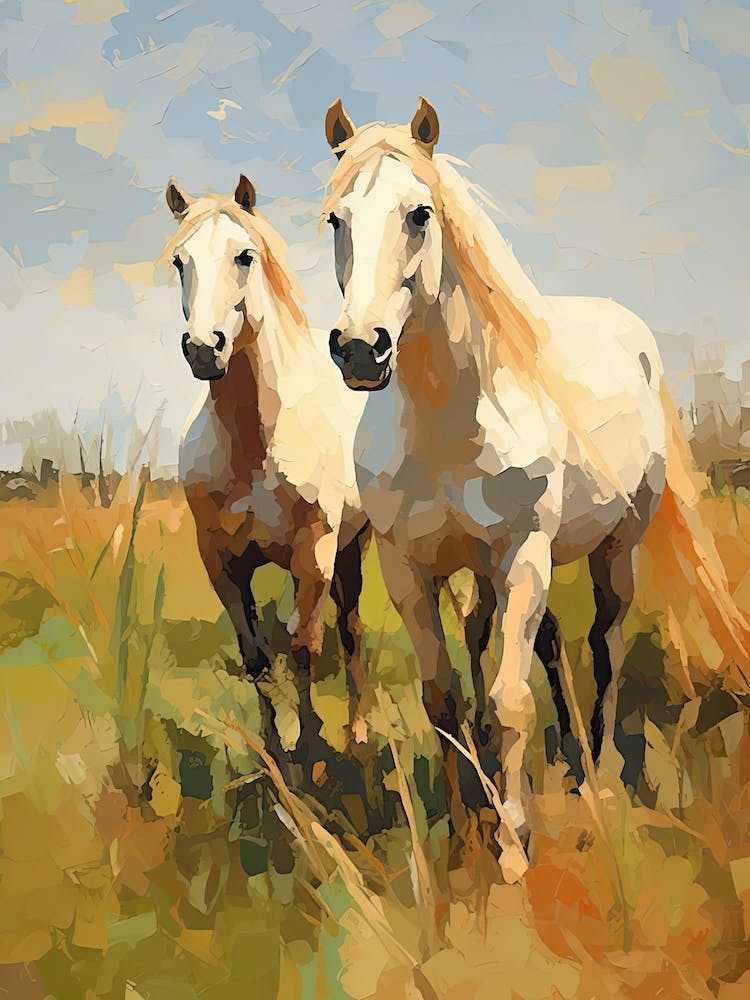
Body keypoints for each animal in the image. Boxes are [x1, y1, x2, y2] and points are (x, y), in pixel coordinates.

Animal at [161, 174, 370, 772]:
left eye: (245, 255)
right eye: (180, 262)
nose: (203, 349)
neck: (256, 445)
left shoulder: (314, 554)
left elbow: (303, 649)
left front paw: (312, 755)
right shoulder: (222, 564)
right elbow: (255, 658)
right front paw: (275, 758)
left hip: (352, 547)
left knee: (350, 632)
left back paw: (359, 733)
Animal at [321, 97, 750, 849]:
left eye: (419, 213)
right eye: (336, 220)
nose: (359, 349)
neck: (448, 418)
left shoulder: (522, 556)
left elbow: (510, 701)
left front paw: (514, 840)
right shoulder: (410, 569)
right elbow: (443, 697)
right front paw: (463, 832)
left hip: (613, 551)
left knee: (603, 649)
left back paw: (597, 777)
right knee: (543, 648)